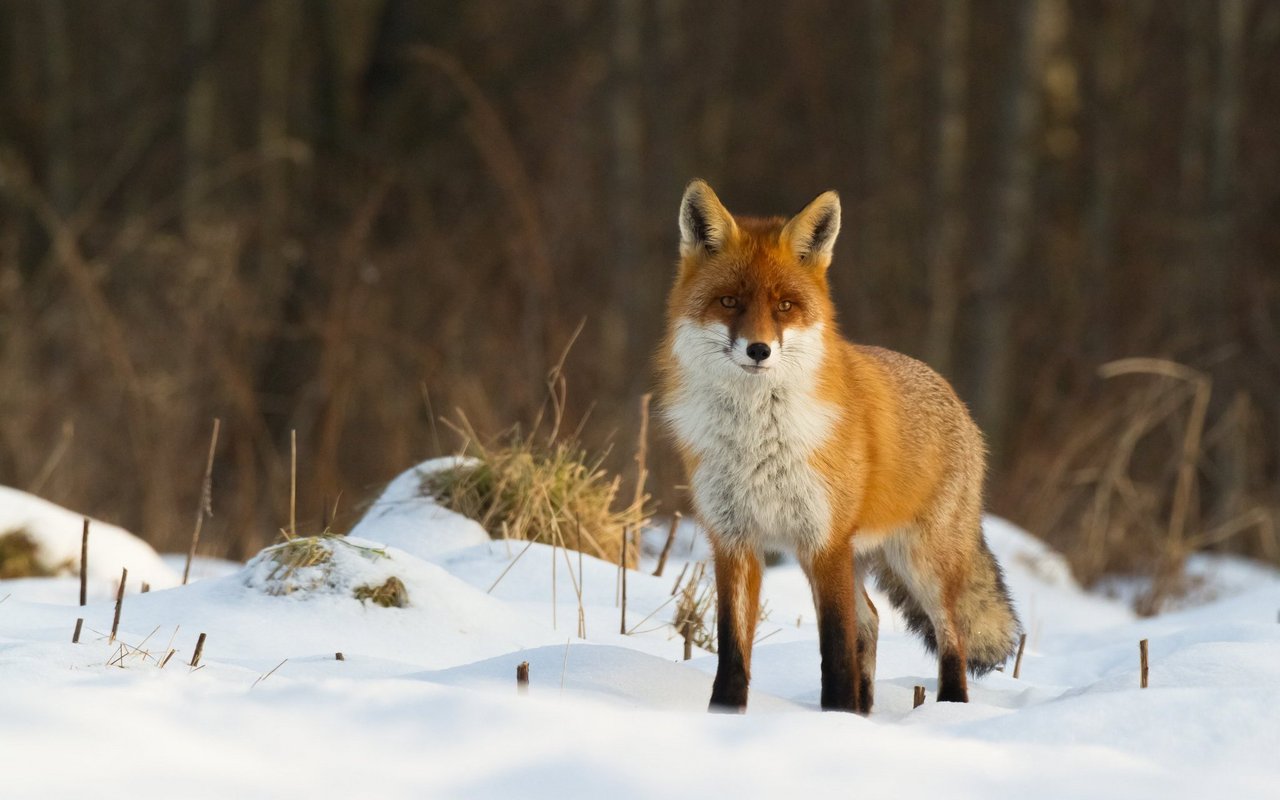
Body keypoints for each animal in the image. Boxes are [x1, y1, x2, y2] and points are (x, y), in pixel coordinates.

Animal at [660, 179, 1018, 711]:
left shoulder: (823, 541)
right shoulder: (734, 540)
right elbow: (733, 650)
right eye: (729, 302)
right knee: (870, 620)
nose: (759, 350)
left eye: (785, 305)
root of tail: (954, 395)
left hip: (921, 563)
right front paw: (726, 714)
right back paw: (865, 710)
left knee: (949, 633)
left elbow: (834, 648)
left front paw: (835, 716)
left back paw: (948, 708)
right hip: (862, 560)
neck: (758, 442)